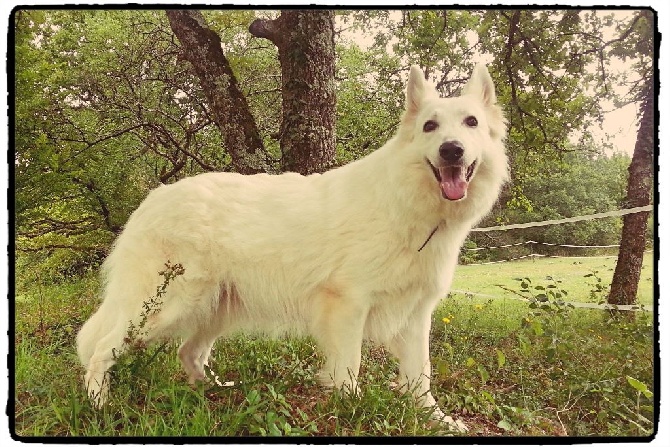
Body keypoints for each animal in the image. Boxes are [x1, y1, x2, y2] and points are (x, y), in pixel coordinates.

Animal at [77, 64, 510, 430]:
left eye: (471, 122)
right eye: (430, 126)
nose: (451, 149)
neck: (407, 203)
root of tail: (153, 198)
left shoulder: (416, 315)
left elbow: (421, 376)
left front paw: (437, 421)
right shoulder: (348, 307)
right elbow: (349, 369)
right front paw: (351, 413)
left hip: (215, 309)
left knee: (189, 353)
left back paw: (213, 394)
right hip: (163, 306)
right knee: (100, 350)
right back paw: (99, 407)